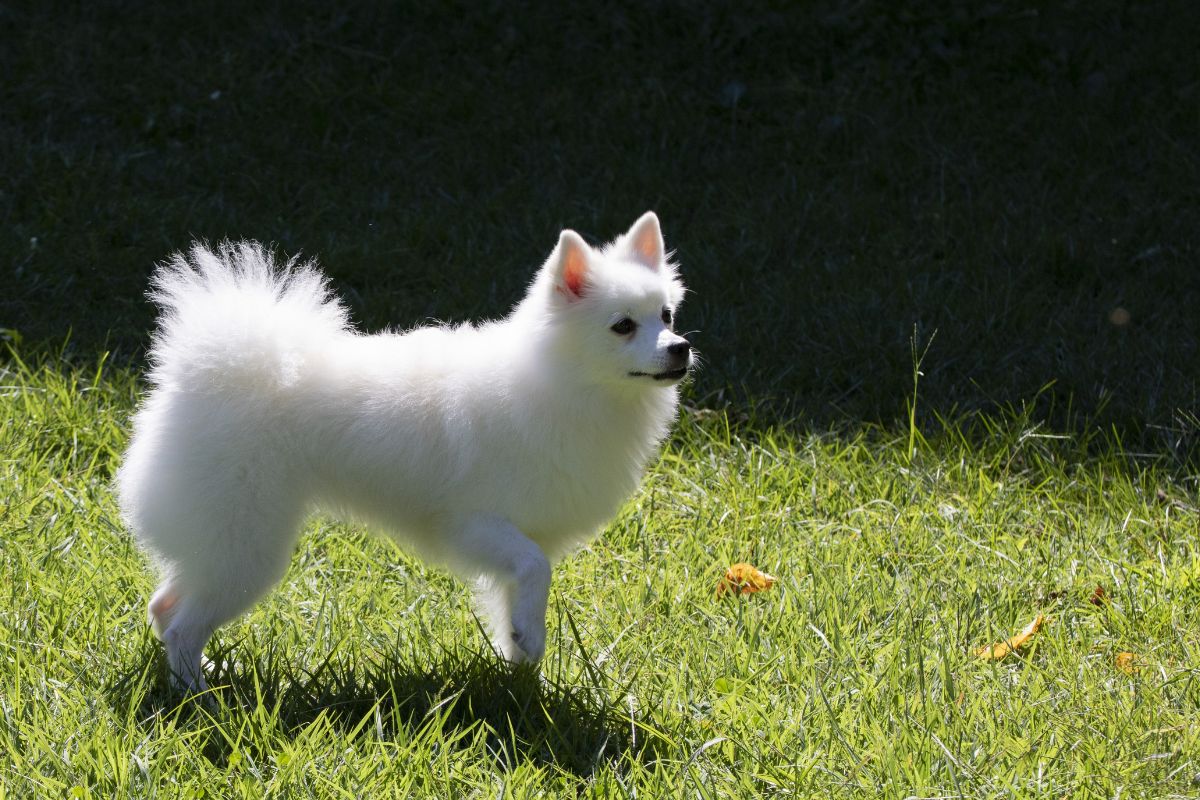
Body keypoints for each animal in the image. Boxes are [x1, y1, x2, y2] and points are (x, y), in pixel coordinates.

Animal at [118, 212, 696, 690]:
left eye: (667, 316)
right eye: (623, 326)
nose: (680, 347)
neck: (561, 385)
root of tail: (216, 369)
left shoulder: (516, 537)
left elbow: (523, 593)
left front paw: (522, 671)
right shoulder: (473, 524)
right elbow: (535, 569)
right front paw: (530, 645)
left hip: (222, 548)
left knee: (165, 607)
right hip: (246, 547)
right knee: (183, 625)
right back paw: (198, 696)